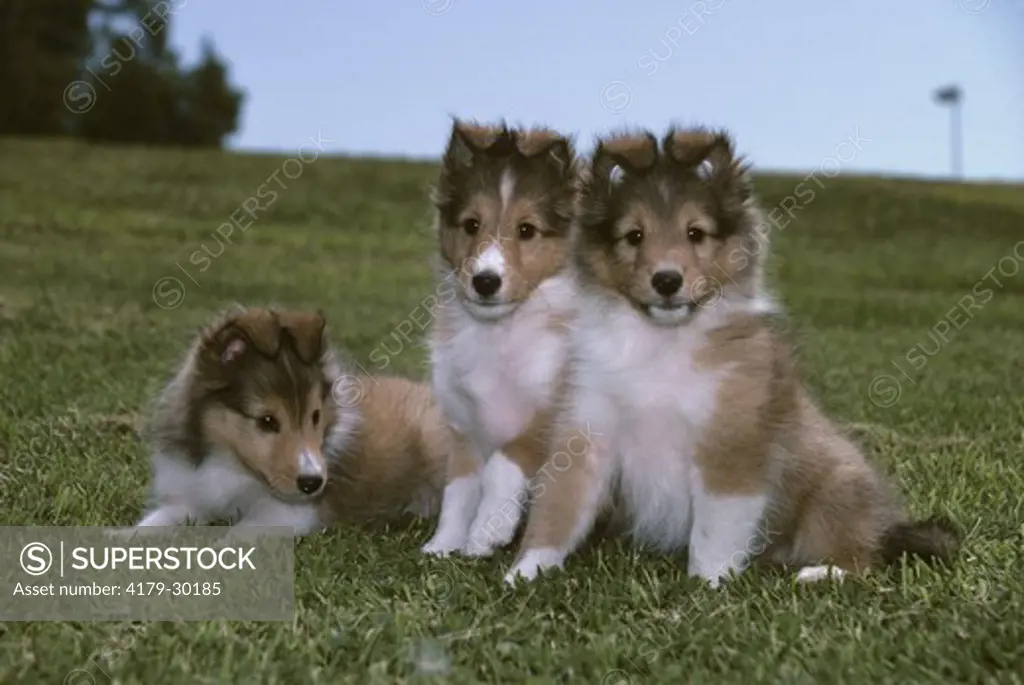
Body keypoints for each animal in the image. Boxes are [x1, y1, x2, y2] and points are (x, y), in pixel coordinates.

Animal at [131, 305, 448, 532]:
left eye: (315, 416)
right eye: (266, 420)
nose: (312, 483)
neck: (232, 463)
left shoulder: (288, 513)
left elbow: (234, 536)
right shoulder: (192, 498)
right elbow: (150, 525)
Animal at [421, 117, 581, 557]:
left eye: (527, 230)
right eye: (471, 224)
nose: (485, 281)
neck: (497, 332)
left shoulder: (546, 414)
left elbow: (501, 466)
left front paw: (486, 532)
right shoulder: (463, 424)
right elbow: (458, 489)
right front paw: (443, 544)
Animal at [503, 131, 958, 585]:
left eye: (695, 233)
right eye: (633, 236)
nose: (667, 281)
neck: (662, 342)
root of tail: (888, 525)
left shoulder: (731, 445)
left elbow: (713, 533)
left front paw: (707, 586)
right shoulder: (588, 430)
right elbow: (558, 509)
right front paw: (524, 574)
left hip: (834, 492)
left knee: (864, 556)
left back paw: (818, 573)